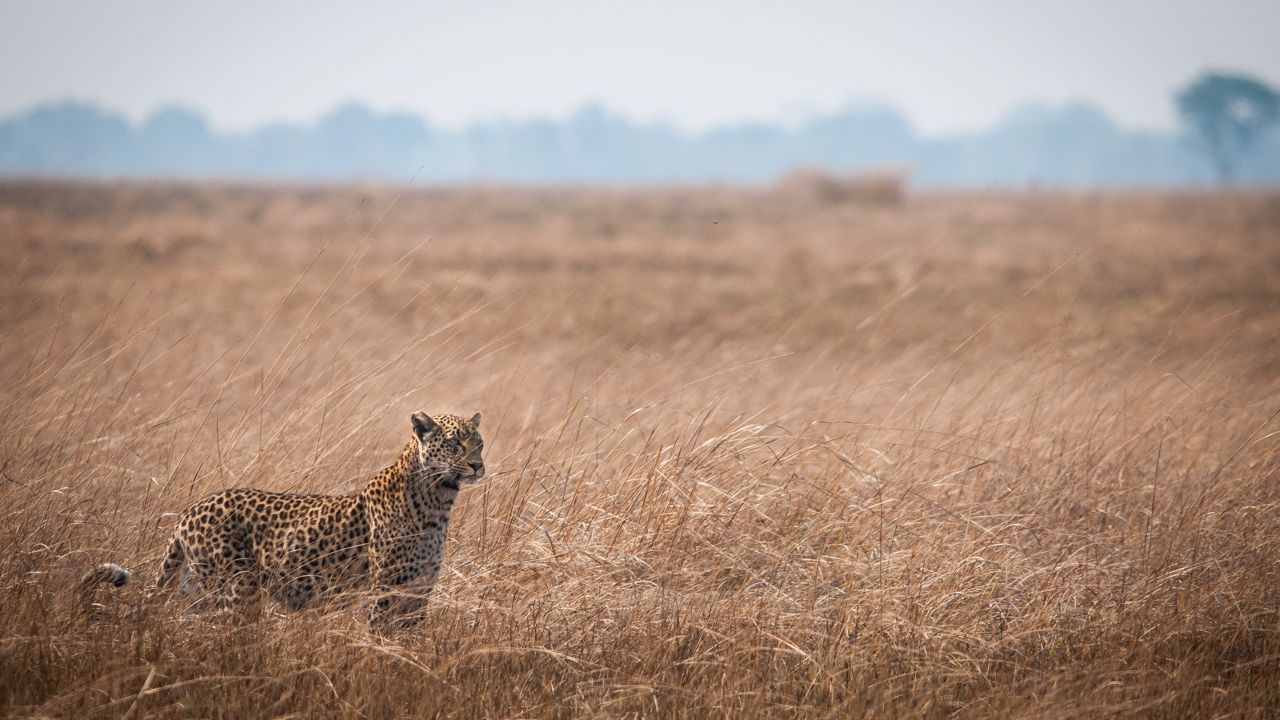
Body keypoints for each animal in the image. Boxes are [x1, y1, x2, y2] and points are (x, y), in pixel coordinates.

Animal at [82, 411, 485, 627]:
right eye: (454, 443)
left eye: (478, 442)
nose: (478, 465)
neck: (438, 502)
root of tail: (190, 511)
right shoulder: (384, 590)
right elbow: (380, 639)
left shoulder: (418, 590)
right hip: (236, 588)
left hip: (198, 587)